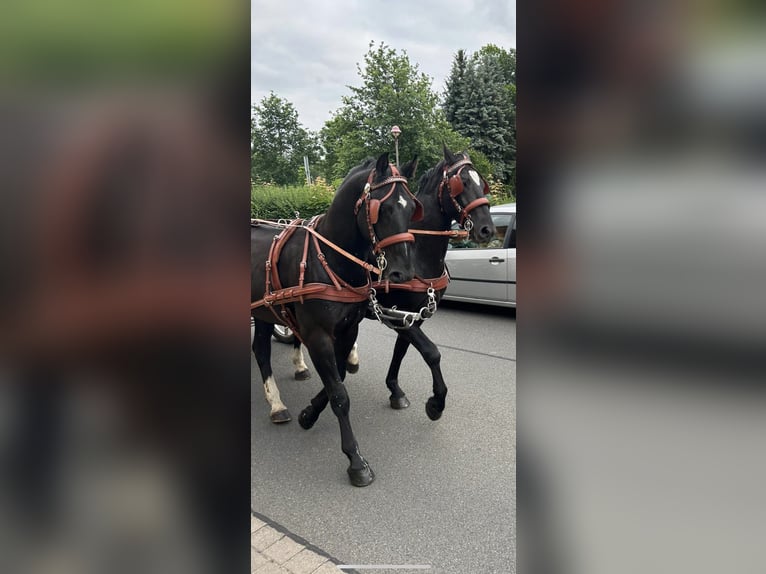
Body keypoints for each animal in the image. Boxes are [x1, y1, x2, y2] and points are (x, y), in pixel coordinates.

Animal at [252, 152, 420, 486]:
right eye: (383, 208)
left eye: (411, 206)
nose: (404, 273)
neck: (330, 259)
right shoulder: (317, 336)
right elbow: (340, 394)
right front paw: (356, 461)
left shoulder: (347, 331)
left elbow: (338, 379)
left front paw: (309, 414)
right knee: (262, 351)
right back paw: (276, 403)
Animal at [294, 146, 498, 428]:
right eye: (462, 183)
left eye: (482, 183)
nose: (487, 229)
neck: (418, 253)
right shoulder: (396, 314)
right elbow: (431, 352)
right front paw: (436, 403)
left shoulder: (413, 316)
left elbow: (400, 351)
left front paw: (395, 389)